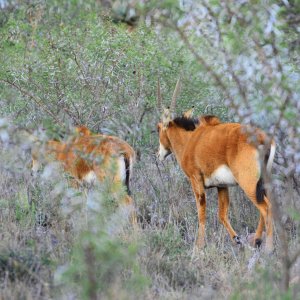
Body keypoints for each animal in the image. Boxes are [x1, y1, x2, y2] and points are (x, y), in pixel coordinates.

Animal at [156, 78, 276, 252]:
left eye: (158, 128)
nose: (159, 155)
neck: (190, 140)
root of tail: (262, 138)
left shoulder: (195, 179)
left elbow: (201, 212)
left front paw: (198, 246)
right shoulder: (222, 186)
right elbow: (222, 214)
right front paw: (236, 240)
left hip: (248, 183)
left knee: (266, 208)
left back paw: (268, 248)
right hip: (261, 182)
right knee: (265, 207)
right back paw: (257, 240)